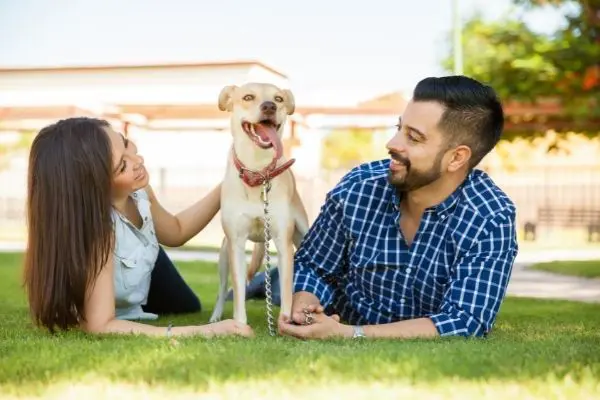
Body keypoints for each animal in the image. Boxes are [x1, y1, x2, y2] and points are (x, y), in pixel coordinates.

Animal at [209, 81, 310, 324]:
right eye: (248, 97)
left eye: (278, 99)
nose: (269, 106)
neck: (258, 172)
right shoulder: (235, 242)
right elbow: (237, 290)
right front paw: (238, 324)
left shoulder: (283, 243)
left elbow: (286, 287)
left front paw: (285, 322)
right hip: (223, 253)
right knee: (222, 288)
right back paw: (216, 316)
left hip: (302, 233)